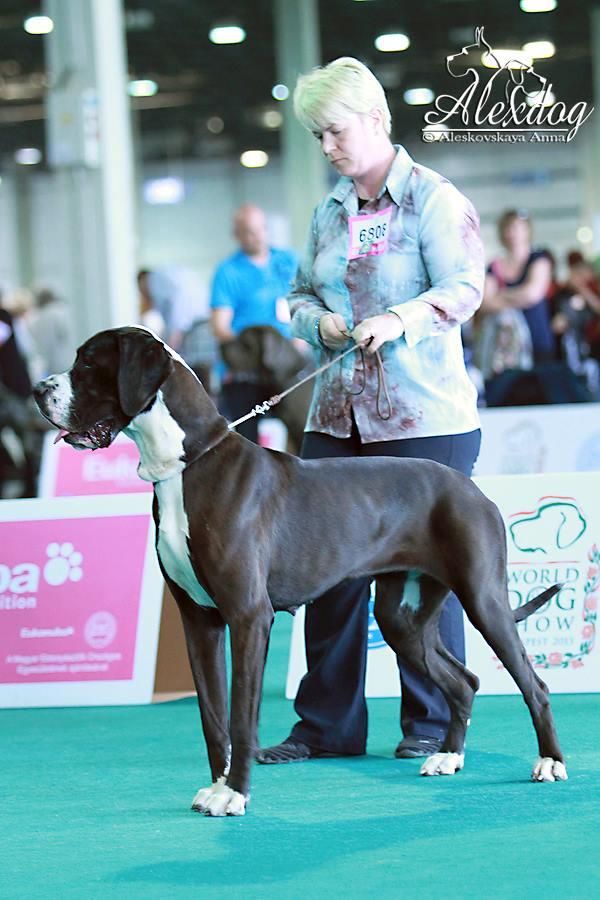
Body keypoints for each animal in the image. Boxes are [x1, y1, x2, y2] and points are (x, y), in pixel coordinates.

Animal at [33, 326, 567, 817]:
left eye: (88, 363)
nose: (38, 389)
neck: (187, 465)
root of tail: (472, 487)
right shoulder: (199, 622)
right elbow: (213, 716)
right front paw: (217, 786)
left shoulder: (249, 617)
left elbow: (242, 715)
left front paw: (235, 795)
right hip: (402, 619)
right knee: (463, 682)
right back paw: (449, 757)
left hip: (484, 600)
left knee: (534, 686)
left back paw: (549, 763)